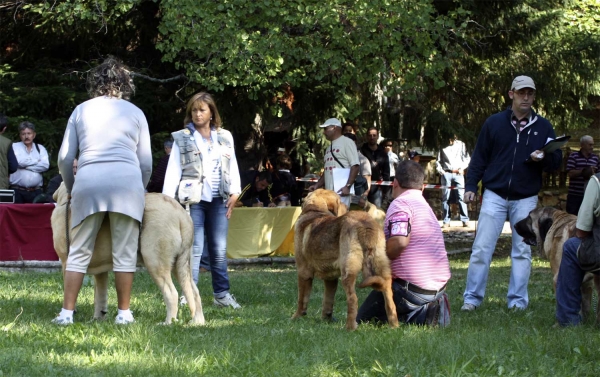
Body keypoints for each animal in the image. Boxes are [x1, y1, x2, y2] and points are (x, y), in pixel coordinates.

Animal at [50, 183, 204, 324]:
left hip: (155, 261)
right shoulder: (100, 272)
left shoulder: (66, 262)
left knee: (171, 293)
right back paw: (197, 322)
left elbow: (69, 289)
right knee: (194, 292)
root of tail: (181, 213)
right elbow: (100, 295)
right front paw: (98, 318)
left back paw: (168, 323)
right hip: (181, 264)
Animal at [292, 188, 398, 328]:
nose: (347, 206)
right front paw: (326, 319)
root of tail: (364, 224)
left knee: (353, 299)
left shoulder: (303, 273)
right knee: (389, 298)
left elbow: (301, 298)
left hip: (348, 270)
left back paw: (350, 327)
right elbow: (328, 300)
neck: (315, 210)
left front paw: (296, 317)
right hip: (381, 265)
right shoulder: (330, 278)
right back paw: (394, 325)